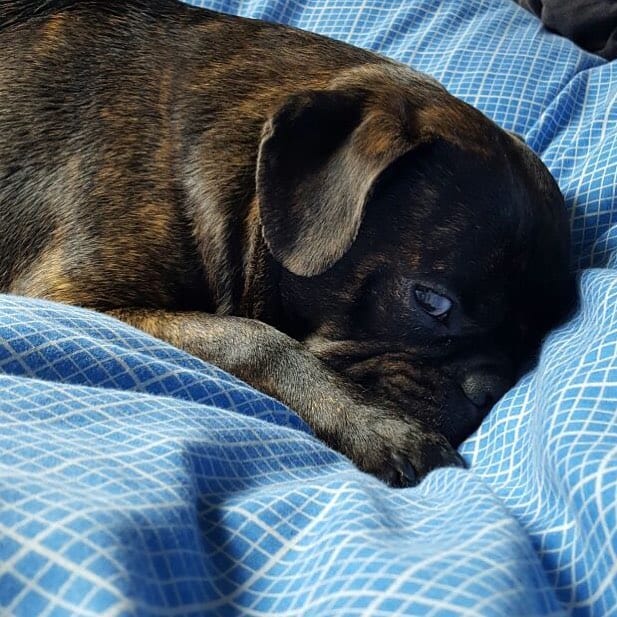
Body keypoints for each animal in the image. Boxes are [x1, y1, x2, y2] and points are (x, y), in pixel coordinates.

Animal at [0, 0, 576, 486]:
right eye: (433, 302)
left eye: (533, 336)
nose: (489, 391)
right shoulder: (77, 298)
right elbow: (254, 338)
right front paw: (377, 427)